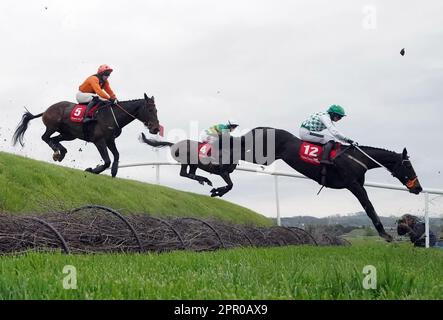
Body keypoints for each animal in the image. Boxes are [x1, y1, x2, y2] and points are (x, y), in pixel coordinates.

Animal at [11, 92, 161, 178]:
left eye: (156, 110)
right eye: (150, 109)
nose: (156, 128)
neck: (112, 117)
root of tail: (47, 109)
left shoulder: (110, 140)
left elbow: (117, 155)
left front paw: (114, 171)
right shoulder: (99, 141)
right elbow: (106, 161)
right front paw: (92, 170)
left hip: (69, 134)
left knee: (54, 139)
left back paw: (61, 152)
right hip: (52, 126)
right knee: (45, 137)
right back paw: (57, 152)